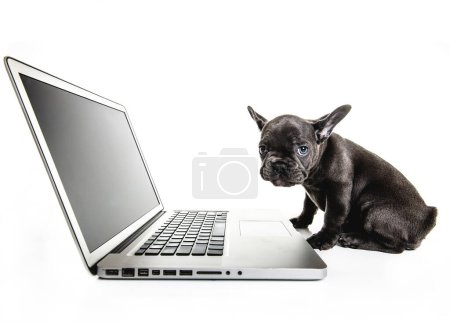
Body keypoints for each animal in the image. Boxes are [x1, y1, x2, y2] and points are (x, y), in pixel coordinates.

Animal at [246, 105, 436, 253]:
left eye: (302, 149)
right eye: (262, 149)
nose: (278, 164)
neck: (318, 164)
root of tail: (427, 220)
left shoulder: (338, 191)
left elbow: (332, 216)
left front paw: (322, 240)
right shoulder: (310, 191)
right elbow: (308, 207)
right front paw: (301, 221)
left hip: (375, 209)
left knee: (397, 247)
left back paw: (352, 240)